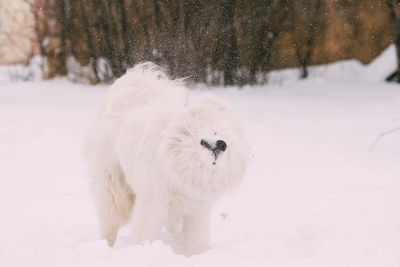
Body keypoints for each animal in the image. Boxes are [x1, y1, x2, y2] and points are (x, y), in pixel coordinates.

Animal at [81, 62, 247, 255]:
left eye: (225, 136)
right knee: (109, 224)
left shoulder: (196, 214)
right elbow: (144, 234)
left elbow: (195, 243)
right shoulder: (153, 206)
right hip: (115, 191)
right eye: (209, 135)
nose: (221, 144)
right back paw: (104, 247)